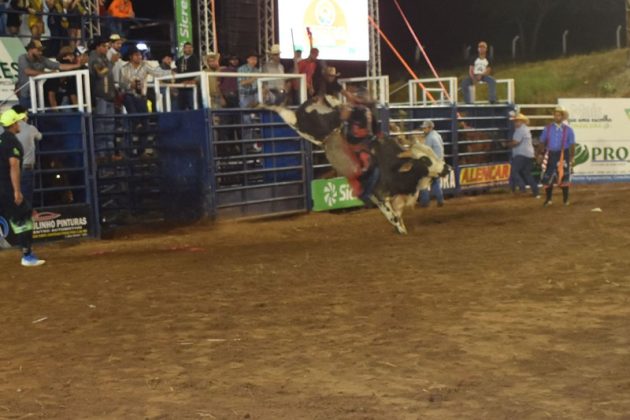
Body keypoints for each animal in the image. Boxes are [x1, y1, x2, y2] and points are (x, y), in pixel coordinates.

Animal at [266, 96, 450, 234]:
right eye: (425, 160)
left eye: (432, 153)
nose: (447, 168)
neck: (392, 166)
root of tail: (308, 104)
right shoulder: (379, 196)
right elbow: (392, 216)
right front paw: (400, 230)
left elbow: (398, 215)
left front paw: (402, 228)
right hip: (302, 126)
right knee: (287, 114)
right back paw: (270, 105)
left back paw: (332, 100)